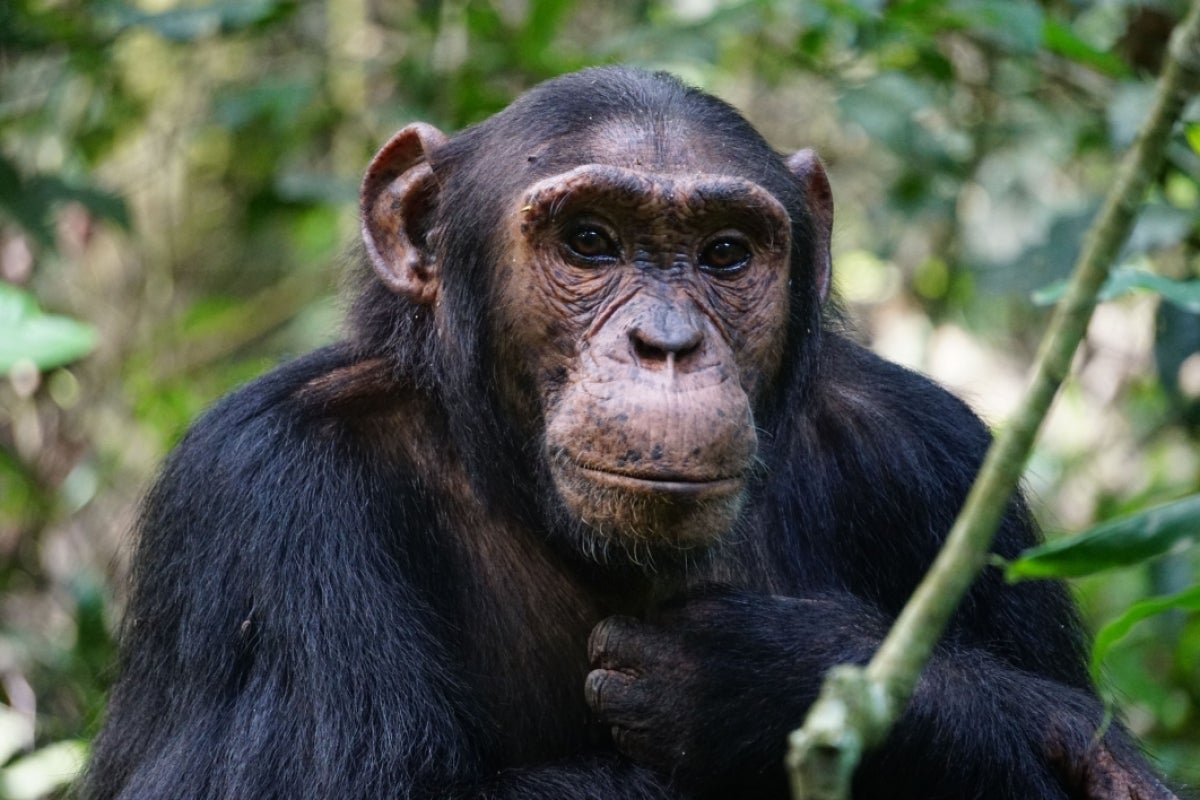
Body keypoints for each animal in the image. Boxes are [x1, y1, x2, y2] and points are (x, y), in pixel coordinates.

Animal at [82, 68, 1171, 800]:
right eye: (590, 242)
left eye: (726, 253)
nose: (667, 344)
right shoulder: (262, 492)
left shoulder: (941, 462)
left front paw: (760, 675)